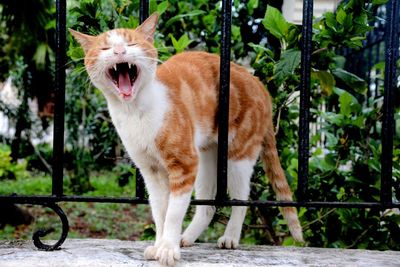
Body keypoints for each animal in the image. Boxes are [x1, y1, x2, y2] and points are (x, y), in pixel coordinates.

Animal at [72, 12, 304, 266]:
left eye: (131, 43)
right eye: (105, 47)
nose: (119, 51)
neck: (134, 112)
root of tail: (260, 85)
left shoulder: (184, 165)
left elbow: (173, 213)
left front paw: (167, 249)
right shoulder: (152, 171)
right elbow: (160, 212)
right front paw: (159, 245)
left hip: (237, 157)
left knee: (242, 197)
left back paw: (230, 237)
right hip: (206, 159)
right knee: (208, 207)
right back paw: (188, 237)